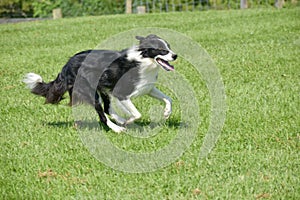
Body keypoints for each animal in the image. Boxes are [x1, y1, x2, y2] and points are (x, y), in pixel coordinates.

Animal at [25, 34, 178, 133]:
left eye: (169, 47)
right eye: (162, 50)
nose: (175, 55)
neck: (143, 61)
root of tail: (67, 65)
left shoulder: (147, 87)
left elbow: (168, 99)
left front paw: (166, 113)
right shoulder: (121, 93)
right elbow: (137, 114)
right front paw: (129, 121)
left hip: (103, 89)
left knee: (107, 109)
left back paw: (119, 120)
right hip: (90, 91)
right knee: (102, 114)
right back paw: (117, 128)